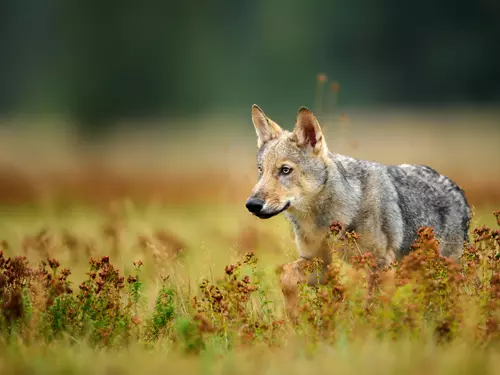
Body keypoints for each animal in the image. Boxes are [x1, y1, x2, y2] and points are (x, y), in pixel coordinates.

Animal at [246, 104, 472, 316]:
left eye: (285, 170)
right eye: (261, 170)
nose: (252, 204)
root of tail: (458, 191)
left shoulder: (381, 266)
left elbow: (374, 308)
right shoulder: (320, 264)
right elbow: (286, 275)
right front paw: (293, 316)